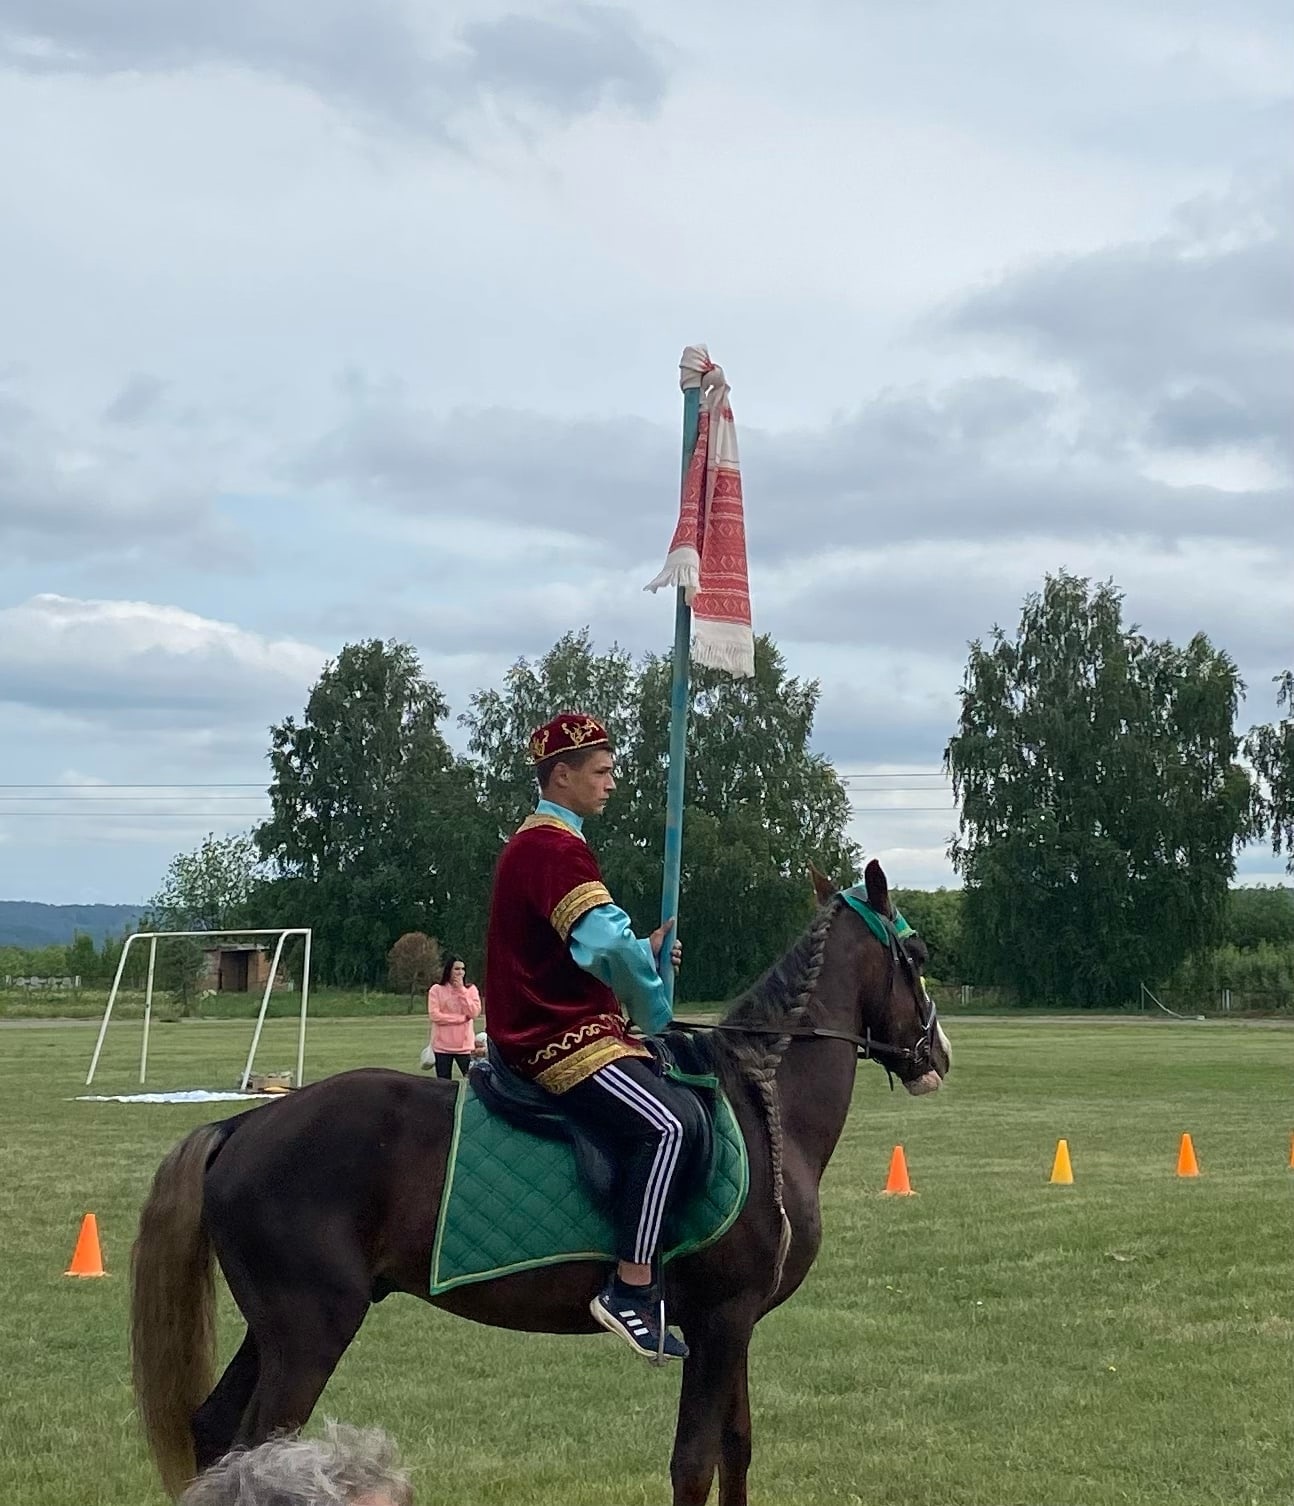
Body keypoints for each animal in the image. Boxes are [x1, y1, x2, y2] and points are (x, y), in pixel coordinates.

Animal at [131, 867, 952, 1499]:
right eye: (913, 953)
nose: (936, 1052)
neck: (759, 1101)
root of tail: (246, 1124)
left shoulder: (736, 1323)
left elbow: (736, 1449)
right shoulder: (719, 1322)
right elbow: (694, 1464)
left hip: (277, 1328)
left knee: (214, 1432)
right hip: (310, 1330)